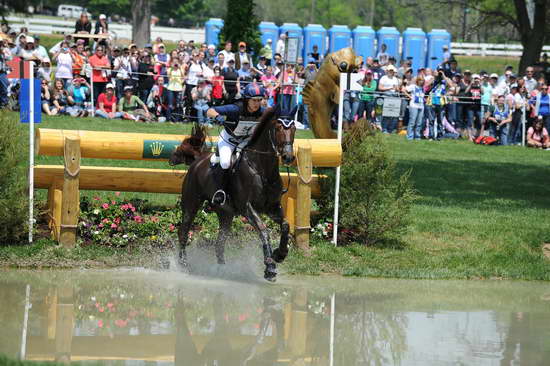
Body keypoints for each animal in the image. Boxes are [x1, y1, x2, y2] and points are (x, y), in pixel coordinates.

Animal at [169, 106, 296, 284]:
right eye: (278, 128)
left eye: (294, 129)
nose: (288, 157)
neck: (261, 169)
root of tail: (198, 160)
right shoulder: (247, 207)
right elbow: (263, 230)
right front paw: (270, 267)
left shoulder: (272, 207)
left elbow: (285, 226)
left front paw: (280, 254)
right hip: (191, 204)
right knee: (183, 232)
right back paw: (184, 265)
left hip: (226, 214)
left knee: (219, 244)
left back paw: (223, 270)